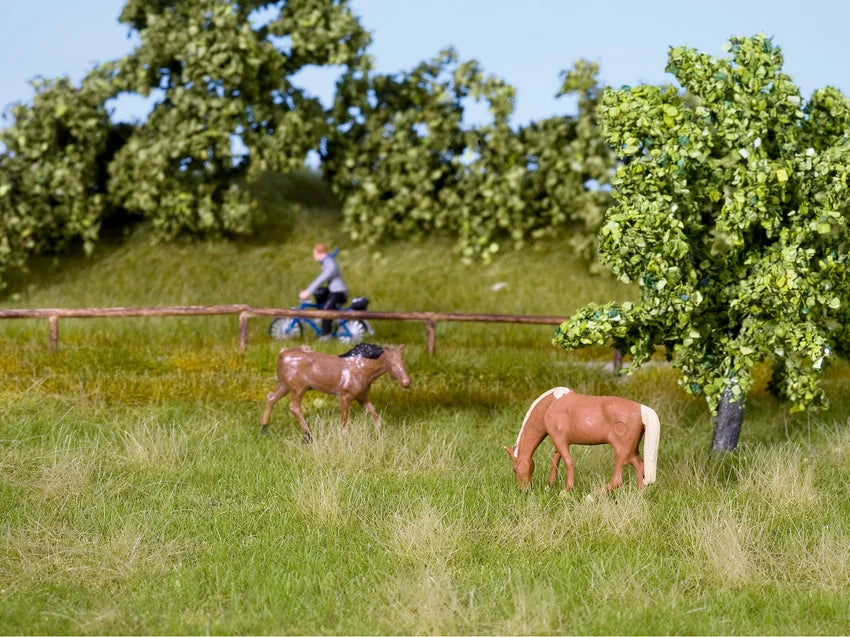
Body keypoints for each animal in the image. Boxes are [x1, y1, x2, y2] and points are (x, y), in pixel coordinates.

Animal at [260, 342, 410, 442]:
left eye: (403, 362)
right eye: (392, 364)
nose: (407, 382)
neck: (360, 368)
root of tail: (282, 354)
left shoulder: (361, 397)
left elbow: (372, 412)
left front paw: (380, 433)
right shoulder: (344, 397)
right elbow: (344, 419)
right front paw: (344, 438)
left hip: (284, 386)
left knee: (270, 398)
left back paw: (264, 428)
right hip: (298, 389)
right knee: (294, 407)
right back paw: (309, 436)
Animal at [504, 386, 656, 490]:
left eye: (515, 469)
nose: (523, 490)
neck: (550, 405)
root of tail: (642, 409)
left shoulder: (560, 440)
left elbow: (568, 462)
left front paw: (566, 491)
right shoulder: (558, 442)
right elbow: (555, 460)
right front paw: (550, 485)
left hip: (621, 451)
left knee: (618, 479)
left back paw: (593, 496)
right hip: (631, 451)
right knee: (640, 466)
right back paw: (640, 493)